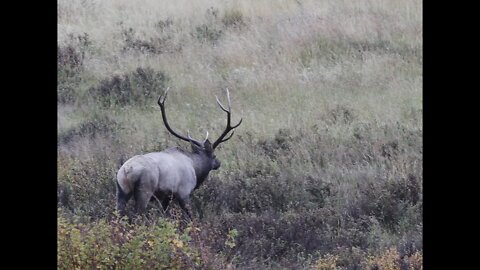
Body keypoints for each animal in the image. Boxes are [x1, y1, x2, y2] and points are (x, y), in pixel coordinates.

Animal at [116, 87, 242, 218]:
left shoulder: (167, 197)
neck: (196, 167)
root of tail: (127, 170)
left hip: (121, 190)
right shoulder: (184, 192)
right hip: (145, 190)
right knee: (137, 214)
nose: (218, 163)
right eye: (214, 155)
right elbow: (190, 216)